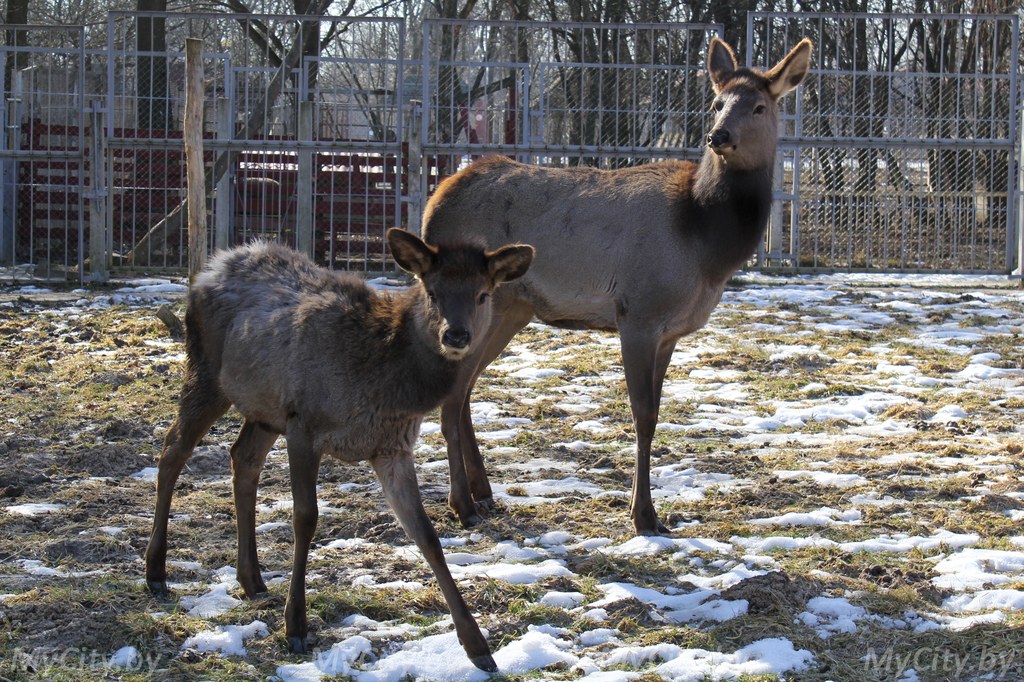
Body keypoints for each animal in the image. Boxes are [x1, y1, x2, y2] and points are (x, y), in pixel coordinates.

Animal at [144, 228, 536, 667]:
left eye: (483, 294)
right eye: (432, 291)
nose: (455, 335)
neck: (383, 376)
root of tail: (213, 265)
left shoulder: (392, 447)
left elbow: (426, 535)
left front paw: (478, 646)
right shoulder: (304, 423)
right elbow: (305, 518)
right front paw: (296, 626)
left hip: (264, 410)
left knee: (242, 458)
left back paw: (252, 579)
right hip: (206, 372)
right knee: (172, 448)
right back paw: (156, 572)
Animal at [419, 37, 811, 532]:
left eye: (759, 106)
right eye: (717, 103)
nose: (718, 136)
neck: (704, 243)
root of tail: (432, 205)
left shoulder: (671, 332)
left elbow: (657, 412)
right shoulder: (638, 313)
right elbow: (643, 415)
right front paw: (643, 515)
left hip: (509, 308)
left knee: (466, 390)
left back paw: (483, 492)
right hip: (470, 304)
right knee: (452, 397)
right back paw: (462, 504)